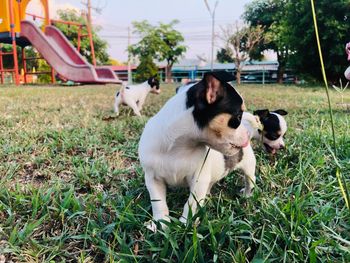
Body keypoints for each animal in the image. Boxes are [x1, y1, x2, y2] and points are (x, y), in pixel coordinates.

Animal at [138, 71, 256, 231]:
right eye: (238, 117)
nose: (246, 134)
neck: (179, 147)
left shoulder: (199, 180)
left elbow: (191, 204)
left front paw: (185, 225)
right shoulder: (153, 179)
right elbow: (159, 203)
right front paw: (160, 223)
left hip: (248, 166)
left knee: (250, 180)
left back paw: (247, 195)